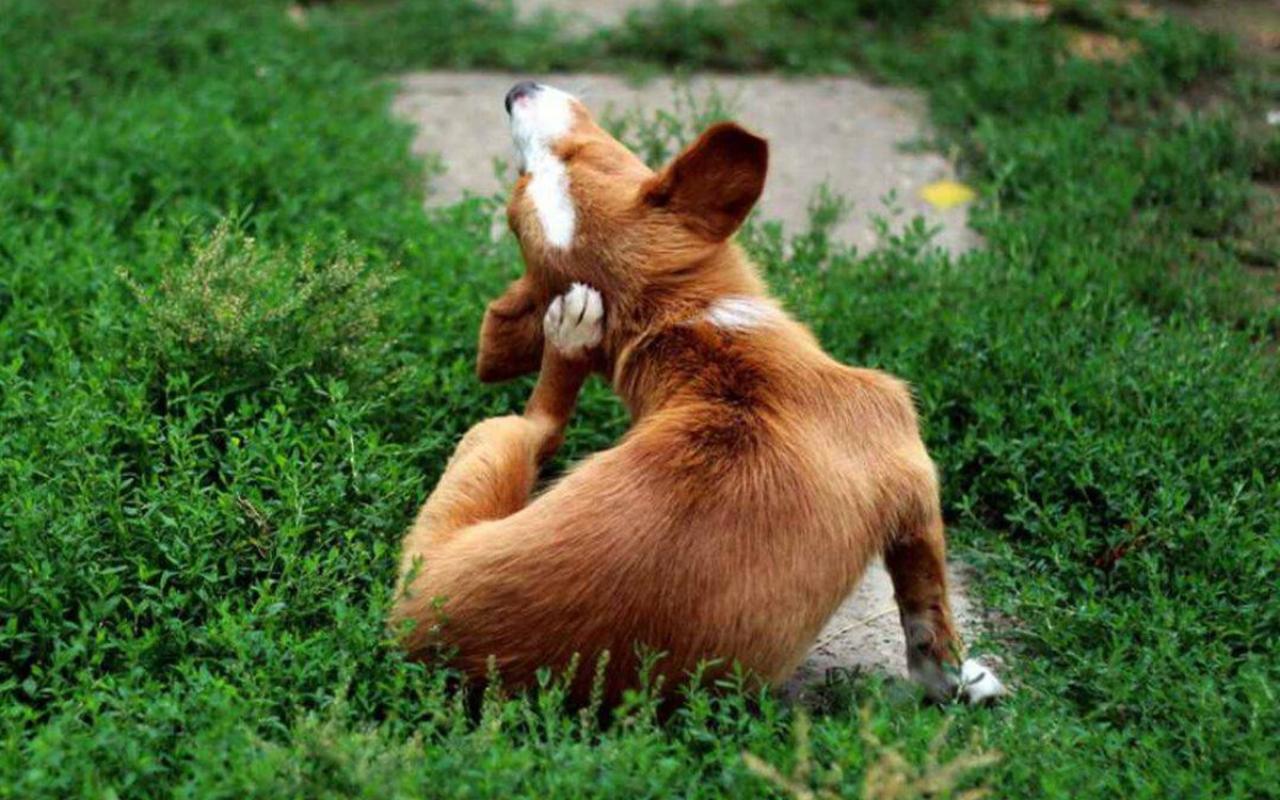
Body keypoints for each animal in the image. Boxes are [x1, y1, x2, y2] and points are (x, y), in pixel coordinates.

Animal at [389, 81, 998, 701]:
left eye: (588, 156)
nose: (516, 90)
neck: (691, 326)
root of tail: (425, 636)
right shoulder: (915, 482)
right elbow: (928, 611)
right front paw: (960, 679)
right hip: (487, 441)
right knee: (540, 422)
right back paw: (569, 338)